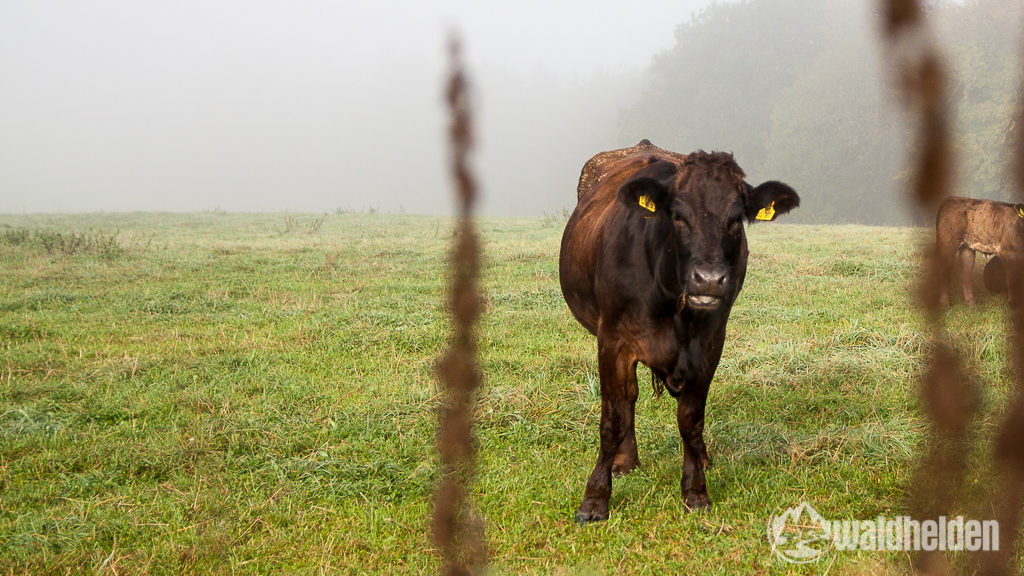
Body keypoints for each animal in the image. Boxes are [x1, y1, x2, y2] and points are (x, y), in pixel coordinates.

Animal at [561, 138, 798, 520]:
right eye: (677, 216)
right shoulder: (612, 341)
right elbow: (612, 418)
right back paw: (626, 461)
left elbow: (691, 418)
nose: (709, 280)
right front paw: (595, 499)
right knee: (628, 398)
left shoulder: (711, 343)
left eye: (736, 219)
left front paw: (696, 489)